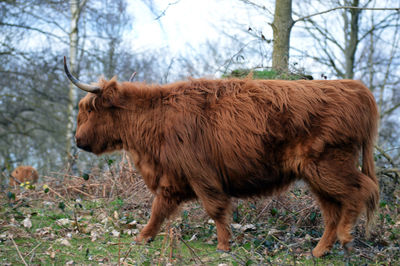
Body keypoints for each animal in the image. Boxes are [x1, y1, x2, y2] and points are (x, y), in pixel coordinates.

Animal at [64, 56, 380, 258]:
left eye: (88, 109)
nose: (78, 140)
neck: (156, 119)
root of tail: (357, 89)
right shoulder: (173, 178)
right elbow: (159, 209)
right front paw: (144, 237)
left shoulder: (200, 174)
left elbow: (214, 208)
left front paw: (224, 246)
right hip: (317, 176)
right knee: (333, 211)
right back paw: (319, 251)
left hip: (329, 165)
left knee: (361, 191)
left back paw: (346, 238)